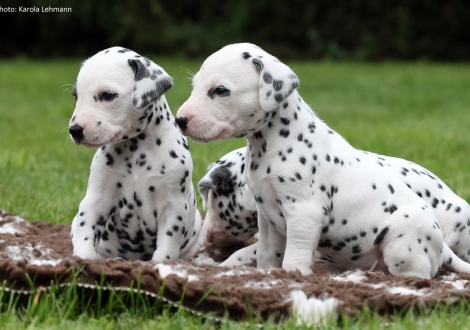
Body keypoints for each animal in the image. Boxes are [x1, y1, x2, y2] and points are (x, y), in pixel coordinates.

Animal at [68, 47, 202, 262]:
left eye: (108, 95)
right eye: (76, 95)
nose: (75, 130)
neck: (136, 153)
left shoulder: (173, 208)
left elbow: (166, 247)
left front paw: (160, 265)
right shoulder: (95, 200)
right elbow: (86, 233)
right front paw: (83, 260)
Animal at [175, 42, 470, 278]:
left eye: (221, 90)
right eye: (194, 86)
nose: (180, 120)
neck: (273, 145)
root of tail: (442, 245)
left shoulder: (304, 215)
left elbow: (293, 259)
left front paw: (292, 277)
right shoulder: (267, 219)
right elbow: (266, 255)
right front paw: (266, 276)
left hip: (402, 246)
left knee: (418, 276)